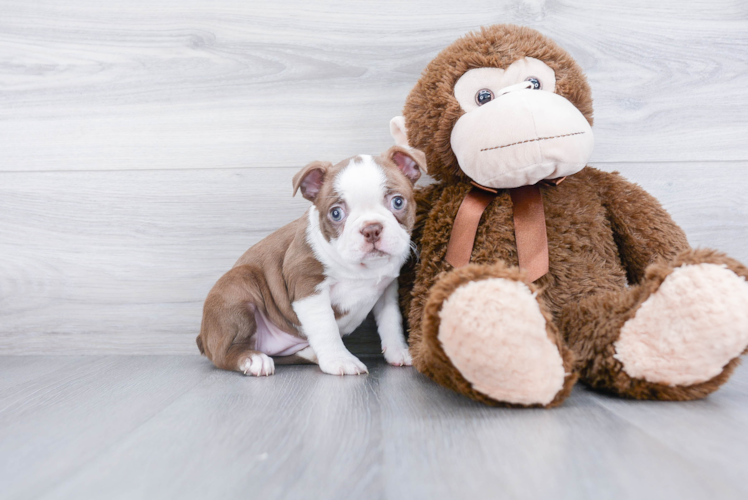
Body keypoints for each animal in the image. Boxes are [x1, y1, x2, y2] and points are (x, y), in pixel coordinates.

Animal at [196, 146, 426, 376]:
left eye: (398, 202)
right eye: (336, 213)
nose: (371, 229)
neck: (363, 268)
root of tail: (202, 336)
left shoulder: (387, 290)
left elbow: (391, 320)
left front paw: (398, 351)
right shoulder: (308, 286)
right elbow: (326, 326)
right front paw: (340, 360)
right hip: (237, 286)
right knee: (224, 353)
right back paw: (253, 359)